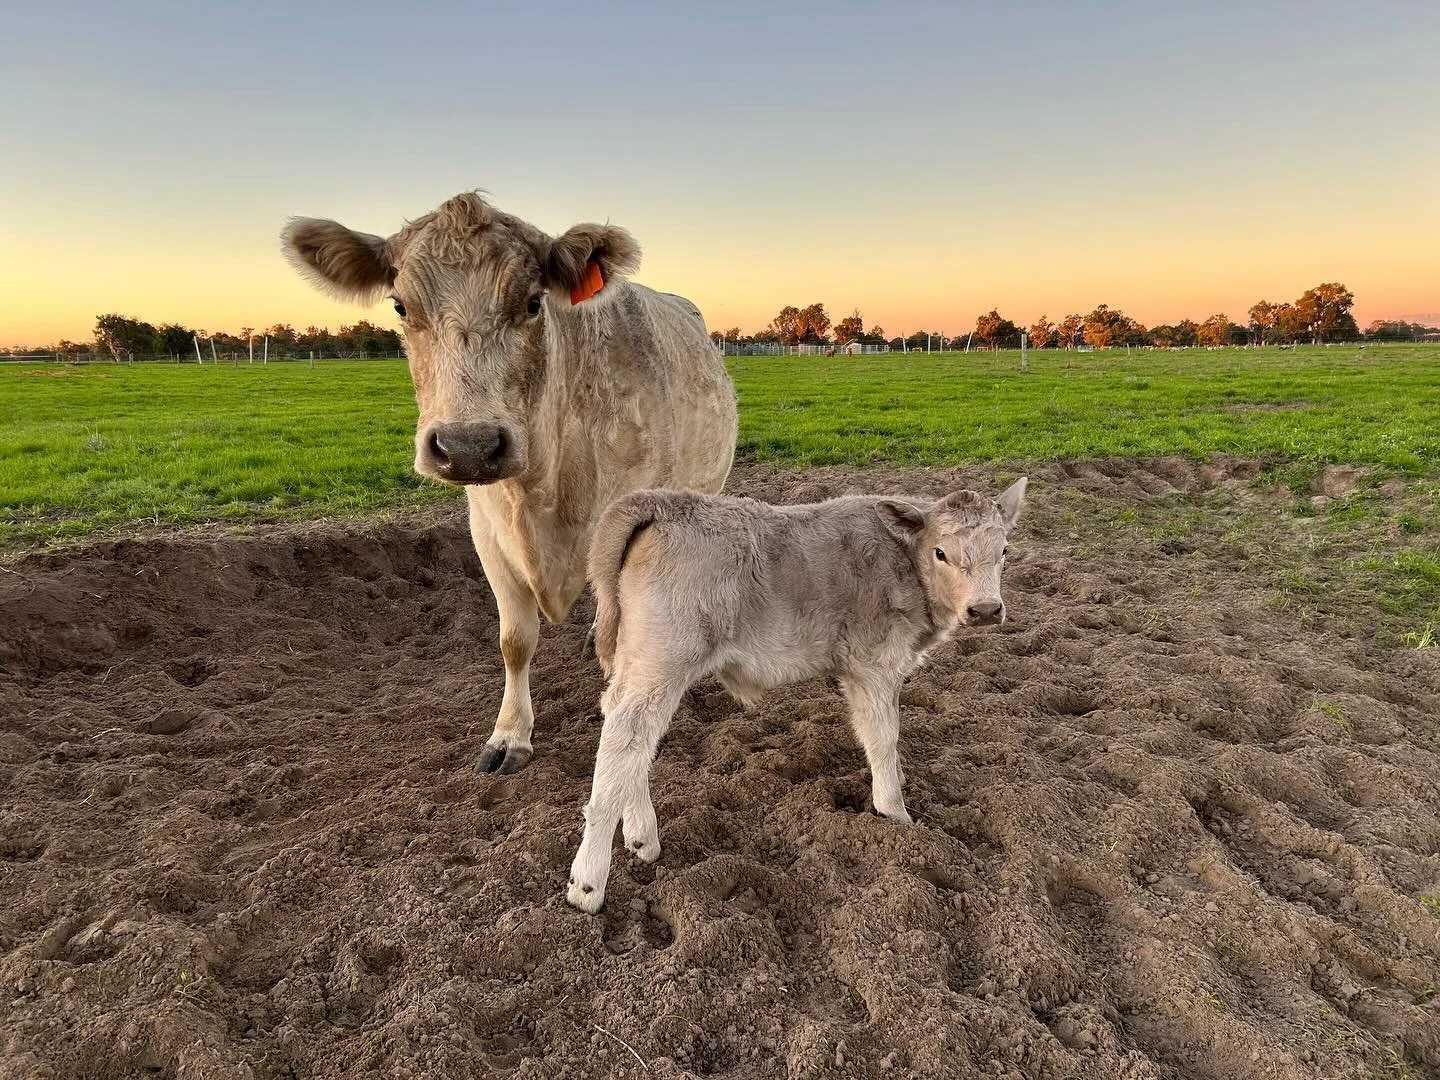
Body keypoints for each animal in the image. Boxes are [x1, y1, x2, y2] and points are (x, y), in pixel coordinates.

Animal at [282, 192, 738, 775]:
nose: (469, 445)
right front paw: (508, 735)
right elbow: (514, 641)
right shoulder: (488, 532)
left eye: (533, 302)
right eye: (401, 306)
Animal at [565, 478, 1027, 913]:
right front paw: (895, 813)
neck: (902, 562)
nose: (986, 609)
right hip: (665, 661)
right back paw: (587, 884)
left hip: (638, 662)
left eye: (1005, 549)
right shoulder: (873, 667)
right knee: (626, 738)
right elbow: (883, 738)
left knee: (628, 733)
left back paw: (642, 837)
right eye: (941, 553)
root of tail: (667, 502)